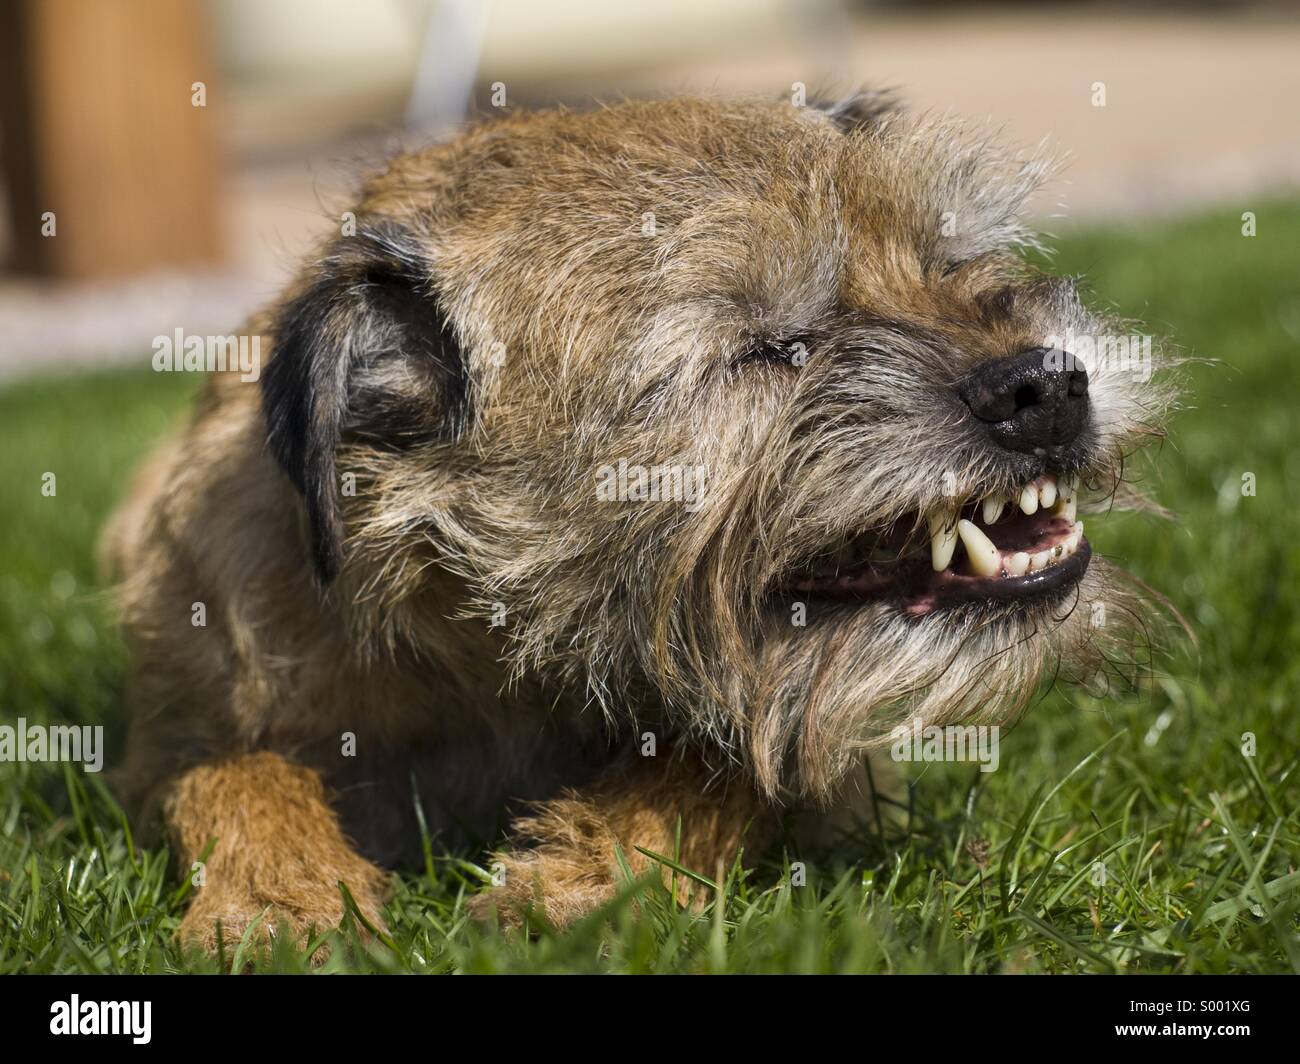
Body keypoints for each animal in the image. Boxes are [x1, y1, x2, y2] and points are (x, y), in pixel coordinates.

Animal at [106, 95, 1175, 946]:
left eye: (951, 264)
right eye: (768, 347)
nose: (1044, 385)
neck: (493, 666)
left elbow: (725, 764)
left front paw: (584, 878)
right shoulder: (171, 739)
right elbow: (236, 774)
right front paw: (280, 901)